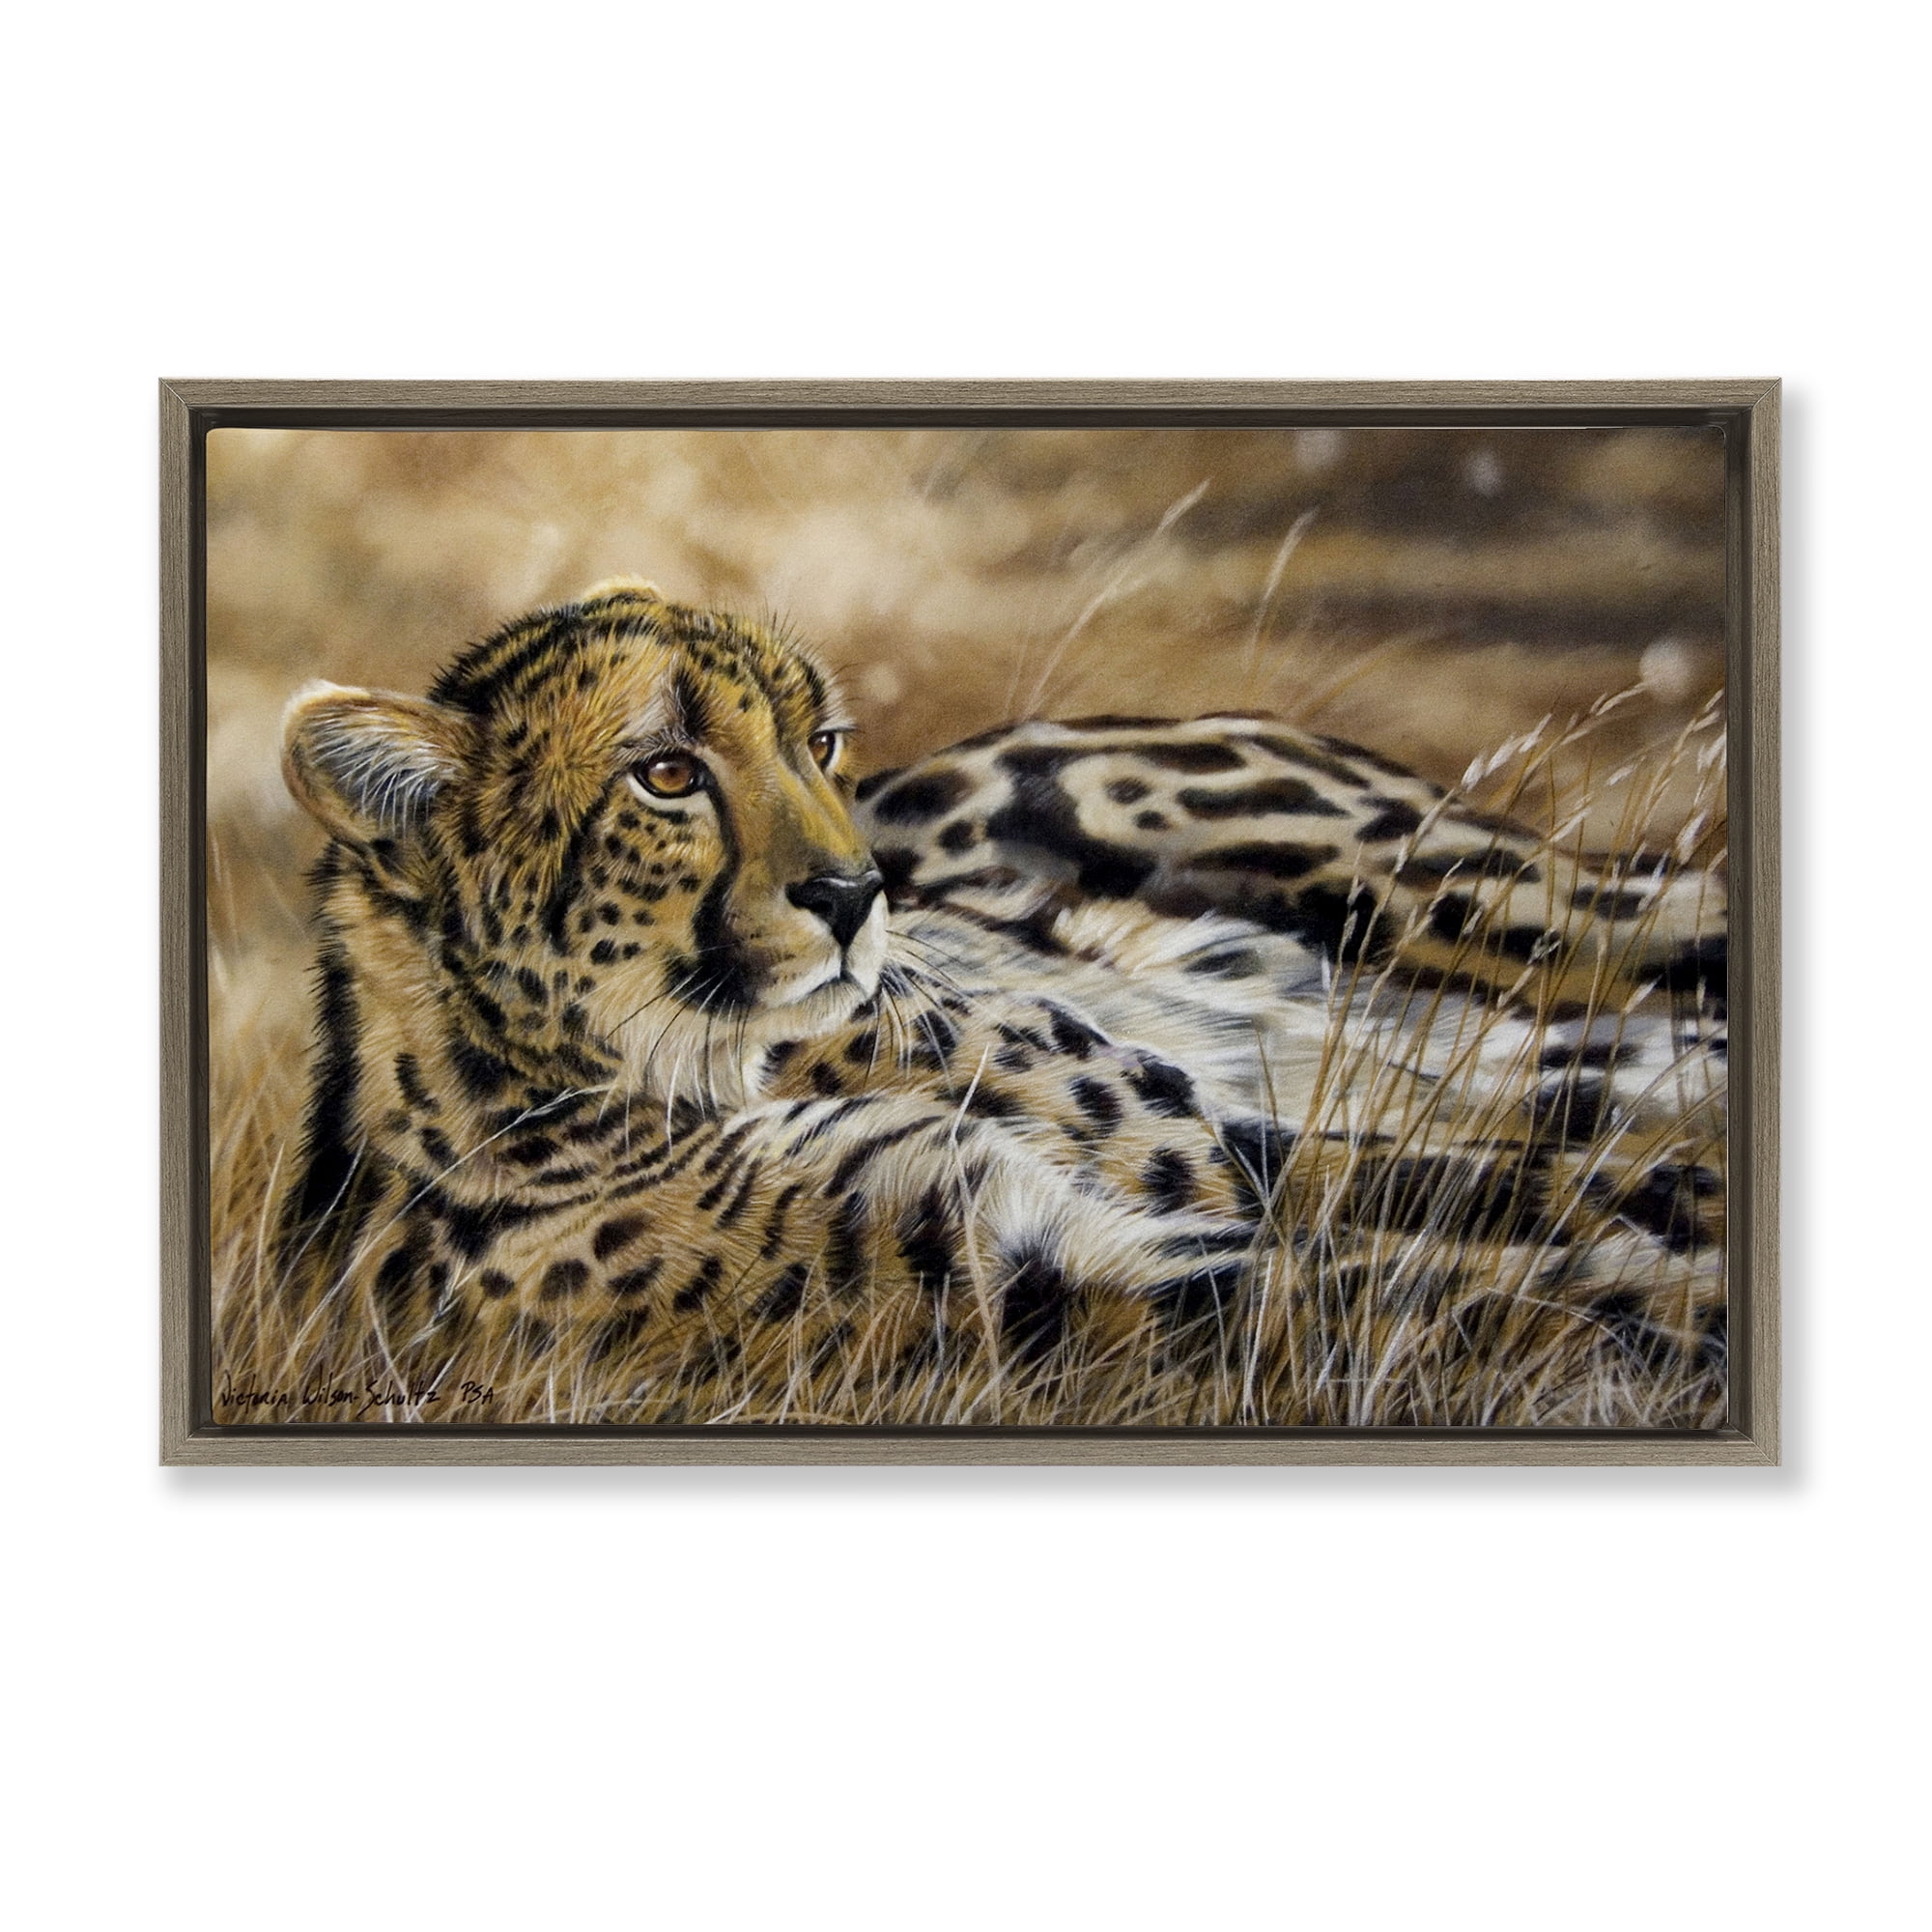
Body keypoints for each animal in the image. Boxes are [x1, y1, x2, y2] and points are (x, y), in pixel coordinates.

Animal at [253, 577, 1728, 1428]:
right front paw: (1677, 1304)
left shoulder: (1197, 1151)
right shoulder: (1044, 1273)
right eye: (665, 772)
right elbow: (1448, 1280)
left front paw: (1679, 1251)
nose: (858, 889)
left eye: (819, 742)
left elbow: (1505, 1196)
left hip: (1469, 899)